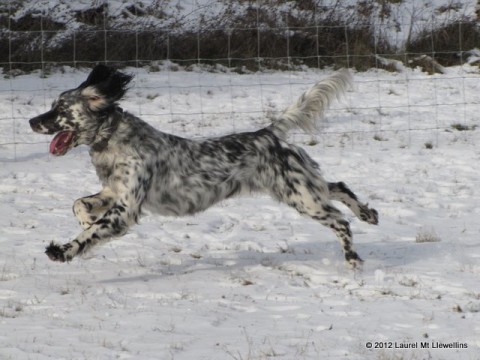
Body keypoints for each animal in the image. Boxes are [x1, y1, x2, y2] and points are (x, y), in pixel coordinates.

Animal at [29, 64, 378, 268]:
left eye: (59, 109)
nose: (32, 121)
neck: (114, 140)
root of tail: (268, 133)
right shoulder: (114, 192)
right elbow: (79, 204)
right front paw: (86, 218)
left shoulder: (126, 208)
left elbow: (89, 234)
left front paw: (63, 250)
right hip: (302, 188)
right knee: (338, 187)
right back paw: (368, 214)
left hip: (301, 196)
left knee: (340, 221)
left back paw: (353, 257)